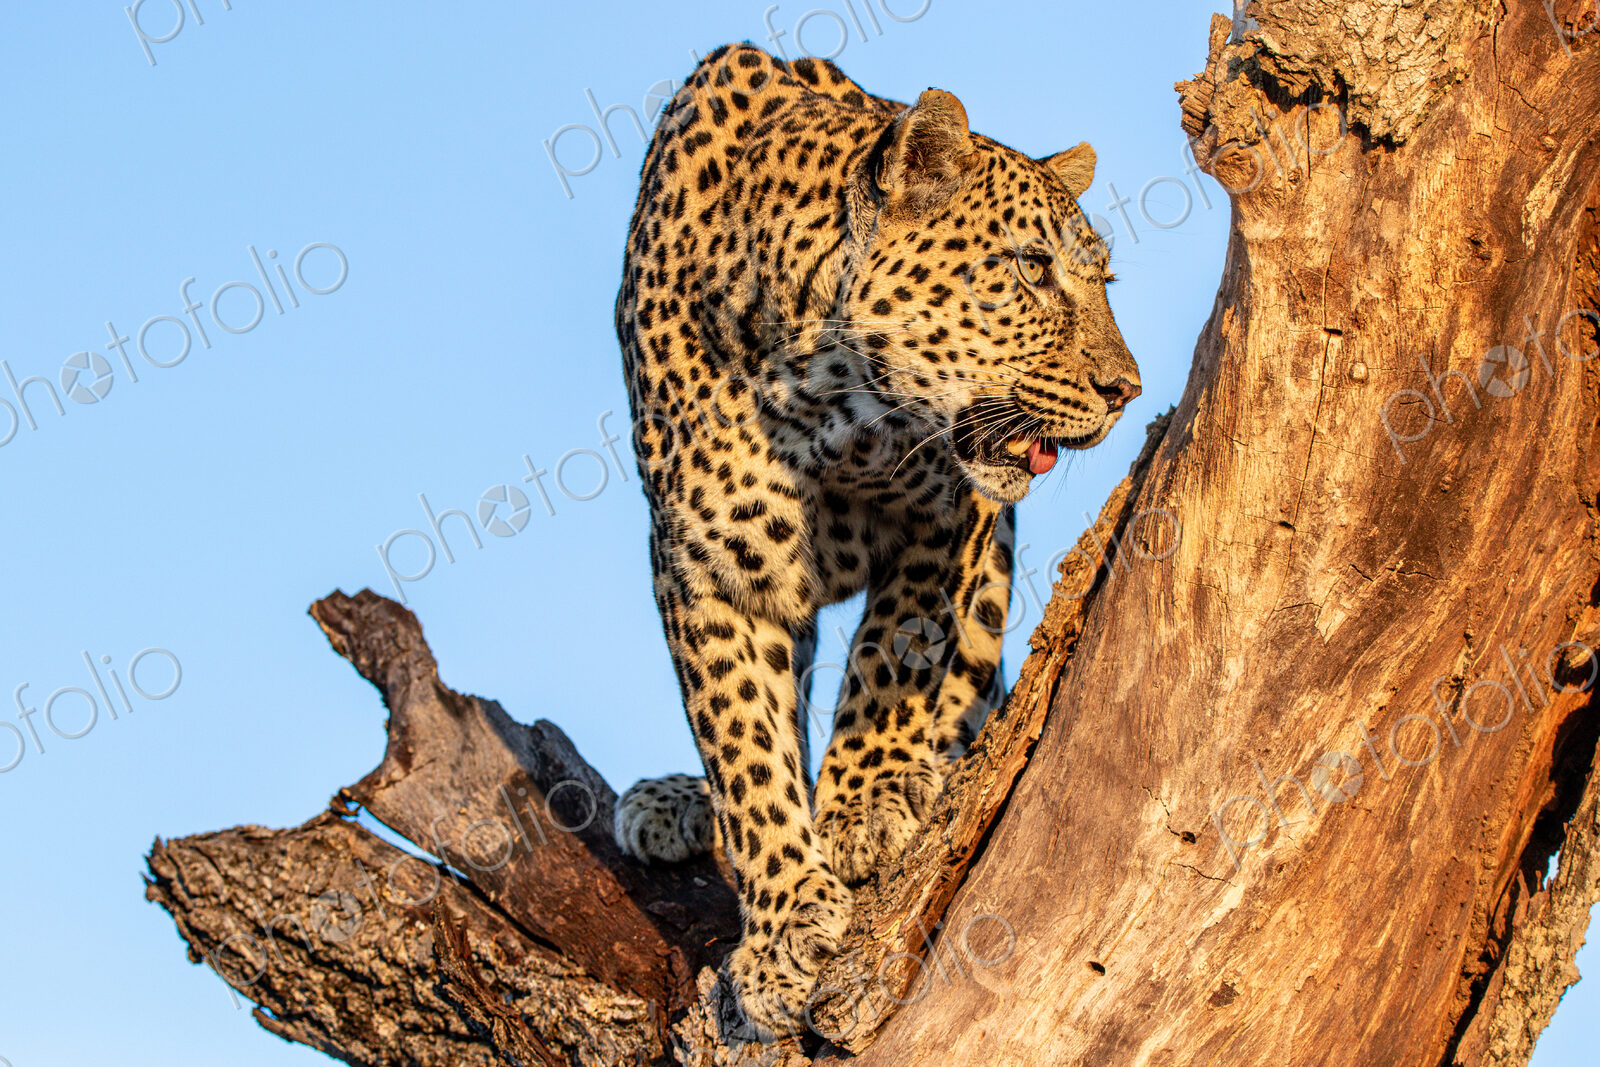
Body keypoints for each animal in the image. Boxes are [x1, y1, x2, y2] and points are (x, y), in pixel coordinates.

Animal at [610, 43, 1139, 1038]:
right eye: (1032, 267)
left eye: (1103, 282)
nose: (1125, 389)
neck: (822, 398)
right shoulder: (704, 565)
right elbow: (743, 738)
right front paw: (783, 924)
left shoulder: (955, 513)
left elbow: (899, 647)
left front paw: (866, 804)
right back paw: (672, 802)